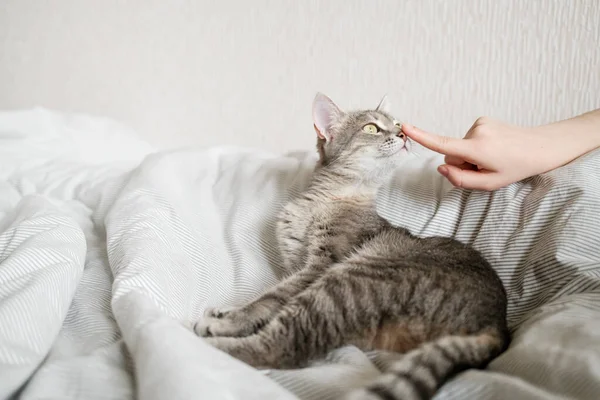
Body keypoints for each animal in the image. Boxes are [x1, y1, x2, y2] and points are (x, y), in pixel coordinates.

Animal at [195, 93, 508, 400]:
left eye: (397, 124)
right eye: (372, 128)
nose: (403, 134)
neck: (329, 198)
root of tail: (498, 326)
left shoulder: (320, 264)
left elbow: (270, 298)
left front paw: (231, 319)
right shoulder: (297, 263)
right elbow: (269, 296)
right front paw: (229, 311)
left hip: (349, 282)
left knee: (281, 348)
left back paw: (212, 344)